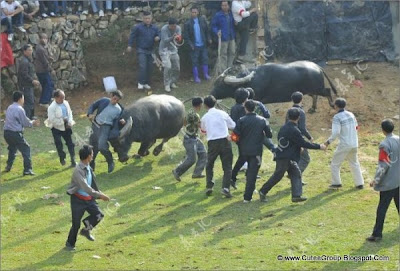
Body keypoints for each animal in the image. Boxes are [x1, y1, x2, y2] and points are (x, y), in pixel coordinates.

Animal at [211, 61, 340, 112]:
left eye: (220, 85)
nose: (211, 94)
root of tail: (317, 67)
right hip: (310, 89)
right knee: (315, 96)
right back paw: (313, 108)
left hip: (318, 88)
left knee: (327, 91)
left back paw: (332, 104)